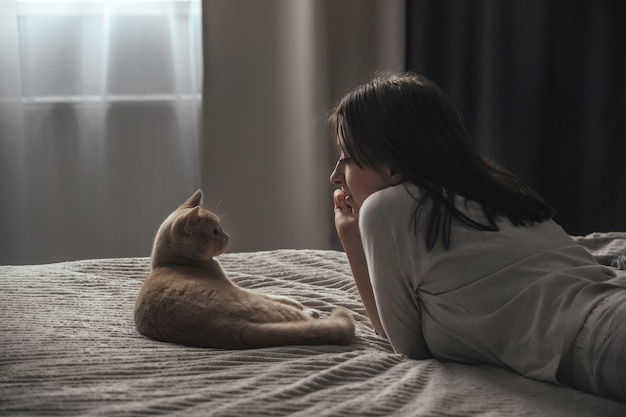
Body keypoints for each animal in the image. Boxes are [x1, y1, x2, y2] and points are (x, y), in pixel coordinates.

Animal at [133, 190, 354, 346]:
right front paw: (297, 302)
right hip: (259, 305)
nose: (227, 236)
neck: (171, 263)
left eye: (220, 228)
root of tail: (218, 327)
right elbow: (275, 296)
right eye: (214, 232)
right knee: (302, 318)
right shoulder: (238, 287)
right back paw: (311, 312)